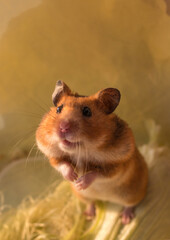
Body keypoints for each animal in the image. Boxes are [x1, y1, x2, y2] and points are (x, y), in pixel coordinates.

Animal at [36, 80, 149, 223]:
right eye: (58, 109)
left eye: (87, 111)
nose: (63, 128)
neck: (82, 150)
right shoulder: (54, 157)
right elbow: (63, 165)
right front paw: (73, 177)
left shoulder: (117, 165)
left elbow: (97, 173)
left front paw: (80, 183)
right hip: (84, 197)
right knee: (91, 203)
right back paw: (89, 215)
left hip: (133, 194)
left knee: (130, 205)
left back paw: (126, 219)